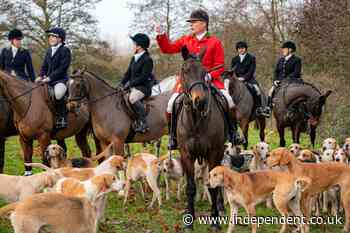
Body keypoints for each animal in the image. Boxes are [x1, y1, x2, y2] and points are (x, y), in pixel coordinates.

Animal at [176, 46, 226, 231]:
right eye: (185, 70)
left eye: (205, 72)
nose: (200, 102)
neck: (196, 120)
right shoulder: (186, 154)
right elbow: (190, 187)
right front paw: (189, 221)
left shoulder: (214, 153)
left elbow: (213, 187)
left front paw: (215, 222)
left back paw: (221, 207)